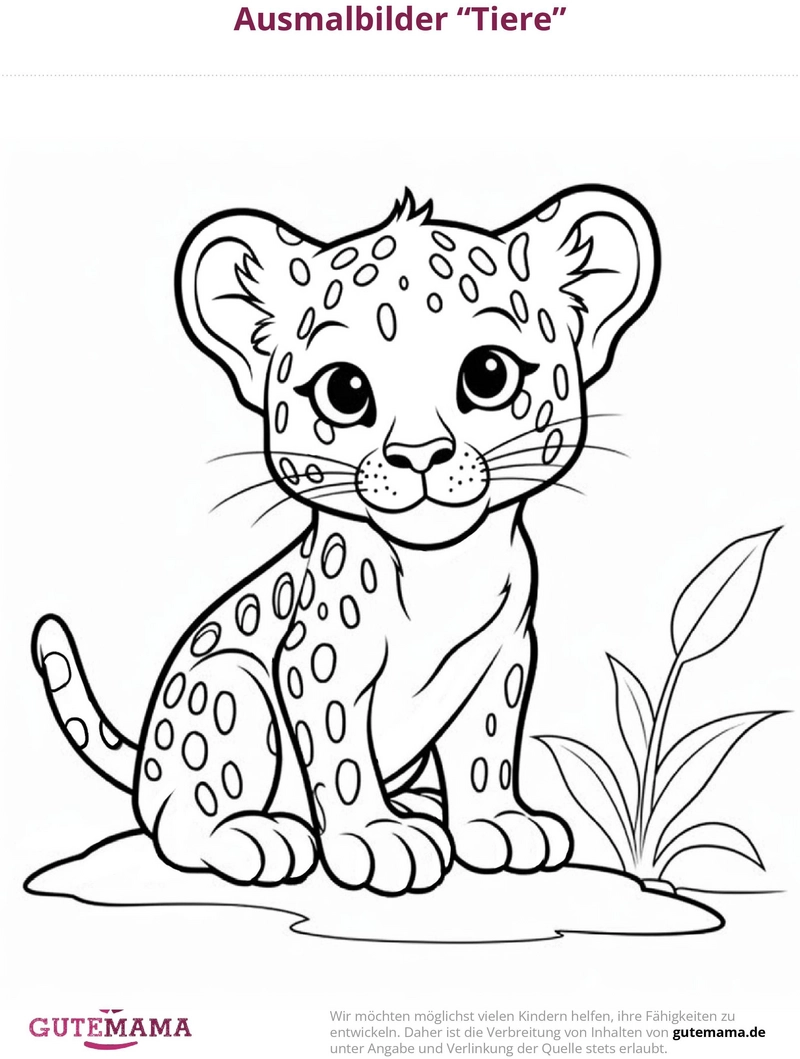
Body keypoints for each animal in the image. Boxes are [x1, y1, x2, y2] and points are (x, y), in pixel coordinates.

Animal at [32, 185, 659, 896]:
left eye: (488, 374)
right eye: (345, 389)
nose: (419, 454)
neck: (442, 573)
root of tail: (143, 766)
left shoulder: (502, 658)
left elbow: (488, 747)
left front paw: (498, 825)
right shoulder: (318, 662)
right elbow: (341, 756)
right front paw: (377, 839)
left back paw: (422, 804)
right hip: (228, 685)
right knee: (179, 825)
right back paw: (261, 836)